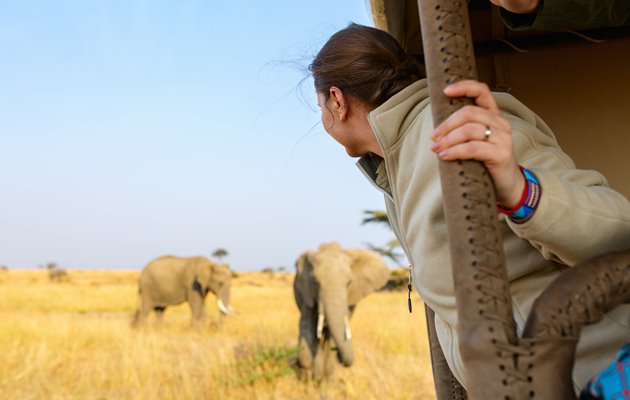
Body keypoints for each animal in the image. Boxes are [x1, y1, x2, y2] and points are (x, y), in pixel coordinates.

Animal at [296, 242, 392, 380]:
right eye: (315, 282)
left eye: (349, 283)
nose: (337, 353)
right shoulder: (306, 293)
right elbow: (308, 324)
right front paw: (307, 369)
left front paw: (322, 377)